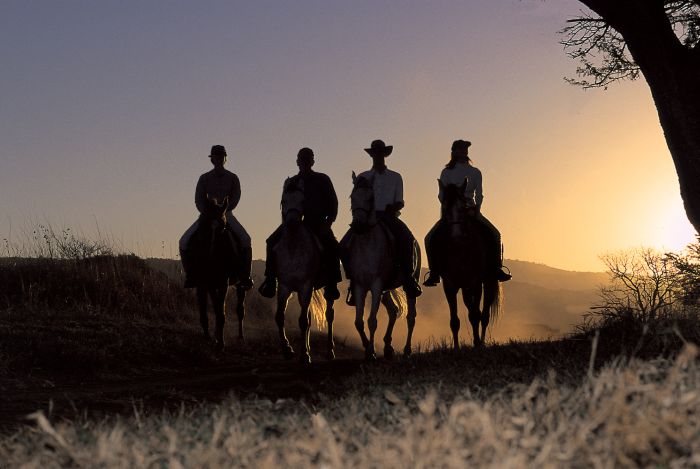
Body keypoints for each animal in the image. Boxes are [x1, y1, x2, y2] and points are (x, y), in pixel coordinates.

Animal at [189, 195, 249, 352]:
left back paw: (241, 336)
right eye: (205, 226)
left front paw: (220, 343)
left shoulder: (223, 283)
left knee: (240, 310)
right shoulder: (209, 283)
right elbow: (215, 308)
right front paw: (216, 339)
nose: (210, 256)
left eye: (223, 227)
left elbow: (220, 312)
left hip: (240, 285)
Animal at [270, 178, 334, 362]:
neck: (293, 248)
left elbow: (303, 321)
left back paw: (329, 351)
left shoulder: (306, 286)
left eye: (302, 201)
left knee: (329, 315)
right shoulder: (284, 287)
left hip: (325, 288)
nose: (291, 223)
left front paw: (304, 355)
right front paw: (287, 349)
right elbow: (280, 317)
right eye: (284, 201)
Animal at [342, 172, 418, 358]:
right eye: (352, 197)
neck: (367, 244)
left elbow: (372, 320)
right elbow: (359, 321)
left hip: (409, 285)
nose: (358, 226)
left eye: (371, 198)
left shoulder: (376, 285)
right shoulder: (360, 286)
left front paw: (371, 351)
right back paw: (388, 346)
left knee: (411, 317)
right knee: (394, 310)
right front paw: (367, 347)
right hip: (386, 290)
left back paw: (407, 350)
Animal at [440, 180, 500, 348]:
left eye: (463, 207)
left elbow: (475, 315)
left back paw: (482, 340)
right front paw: (456, 347)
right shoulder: (449, 285)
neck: (460, 249)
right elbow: (455, 320)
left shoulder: (476, 282)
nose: (456, 235)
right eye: (445, 207)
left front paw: (478, 343)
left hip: (488, 281)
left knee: (484, 314)